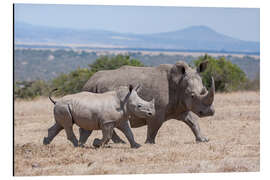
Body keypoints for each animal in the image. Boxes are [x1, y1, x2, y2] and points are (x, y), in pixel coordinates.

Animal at [81, 60, 214, 146]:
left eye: (203, 90)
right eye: (192, 95)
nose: (210, 112)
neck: (179, 83)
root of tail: (89, 81)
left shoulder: (179, 106)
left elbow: (192, 120)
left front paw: (203, 140)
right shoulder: (158, 111)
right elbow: (154, 127)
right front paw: (150, 143)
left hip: (97, 88)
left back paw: (120, 143)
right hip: (92, 89)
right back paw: (120, 143)